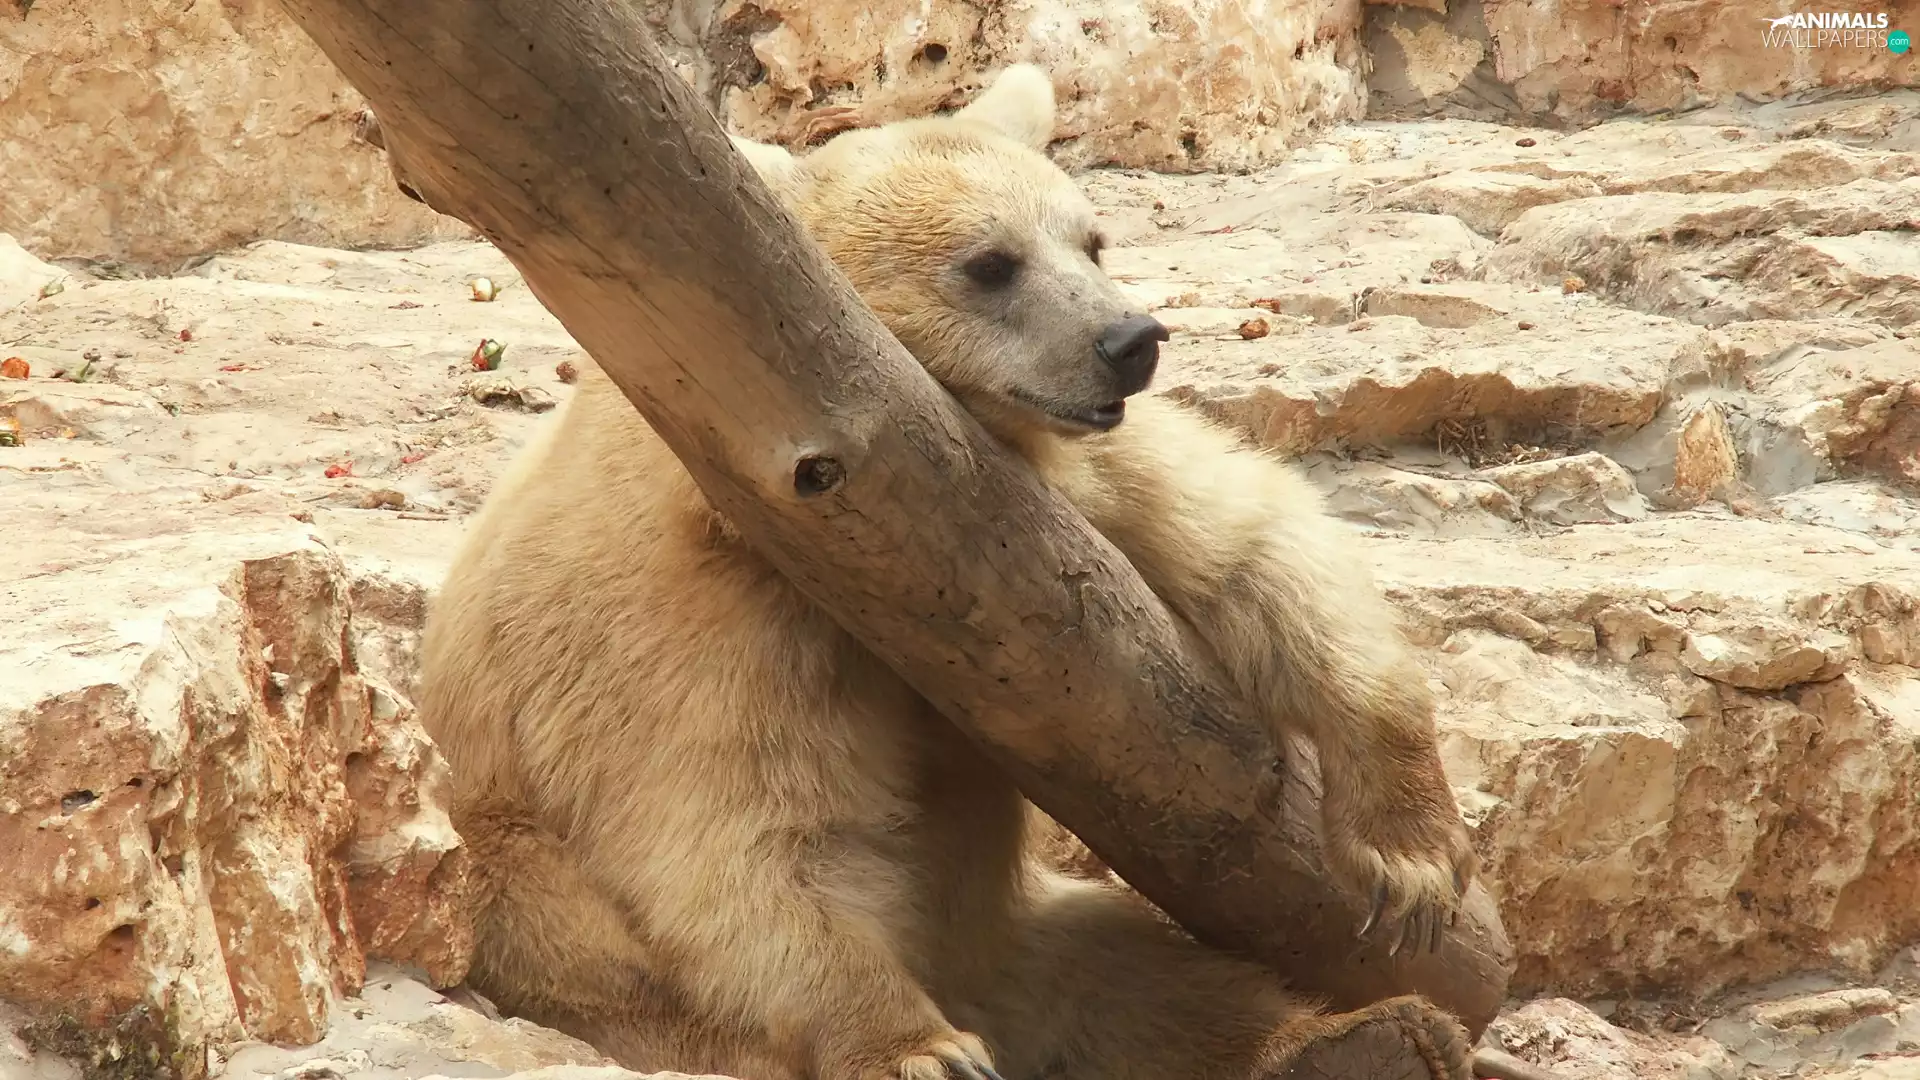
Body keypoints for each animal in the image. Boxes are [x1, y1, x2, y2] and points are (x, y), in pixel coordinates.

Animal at [416, 63, 1481, 1080]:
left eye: (1091, 240)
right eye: (991, 263)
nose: (1130, 340)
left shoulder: (1062, 483)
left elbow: (1252, 549)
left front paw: (1412, 858)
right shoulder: (701, 621)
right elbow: (737, 835)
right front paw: (918, 1047)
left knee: (1128, 969)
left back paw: (1365, 1035)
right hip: (541, 909)